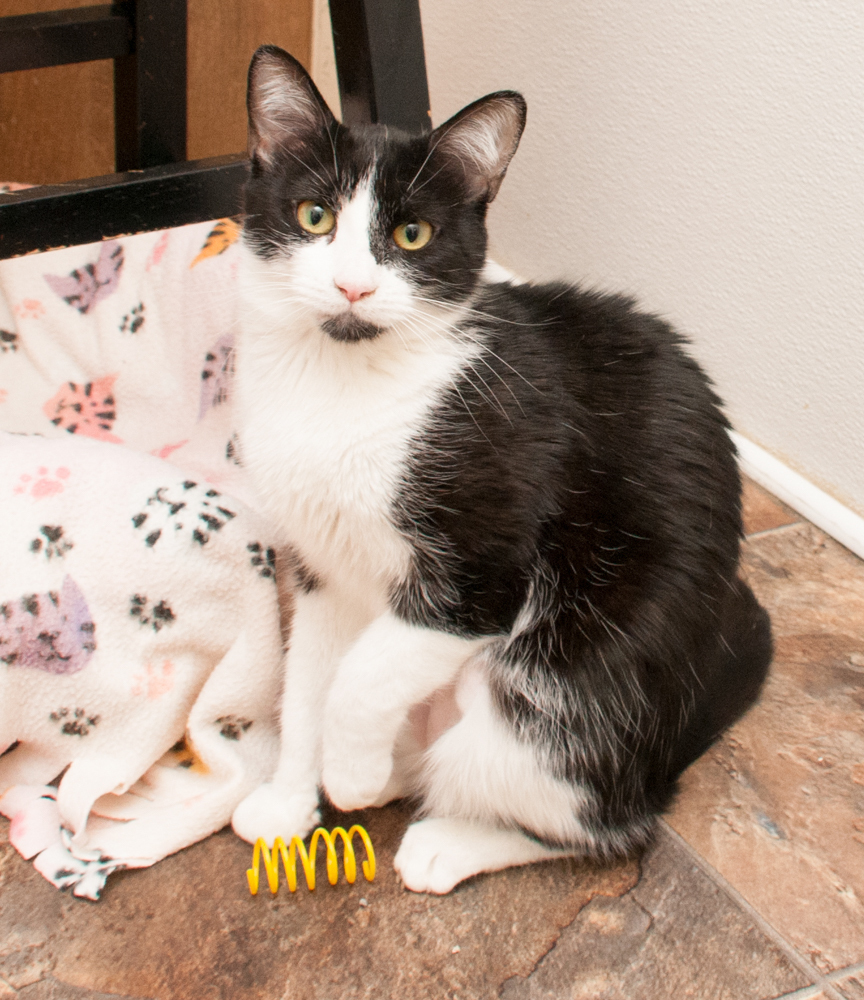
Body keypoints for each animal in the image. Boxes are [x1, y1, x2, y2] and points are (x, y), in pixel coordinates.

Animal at [230, 43, 768, 896]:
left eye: (412, 233)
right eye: (314, 215)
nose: (353, 284)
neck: (340, 385)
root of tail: (663, 756)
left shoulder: (486, 568)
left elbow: (361, 676)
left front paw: (346, 776)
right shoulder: (321, 563)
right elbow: (307, 678)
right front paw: (289, 800)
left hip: (568, 685)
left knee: (603, 822)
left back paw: (446, 839)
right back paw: (394, 777)